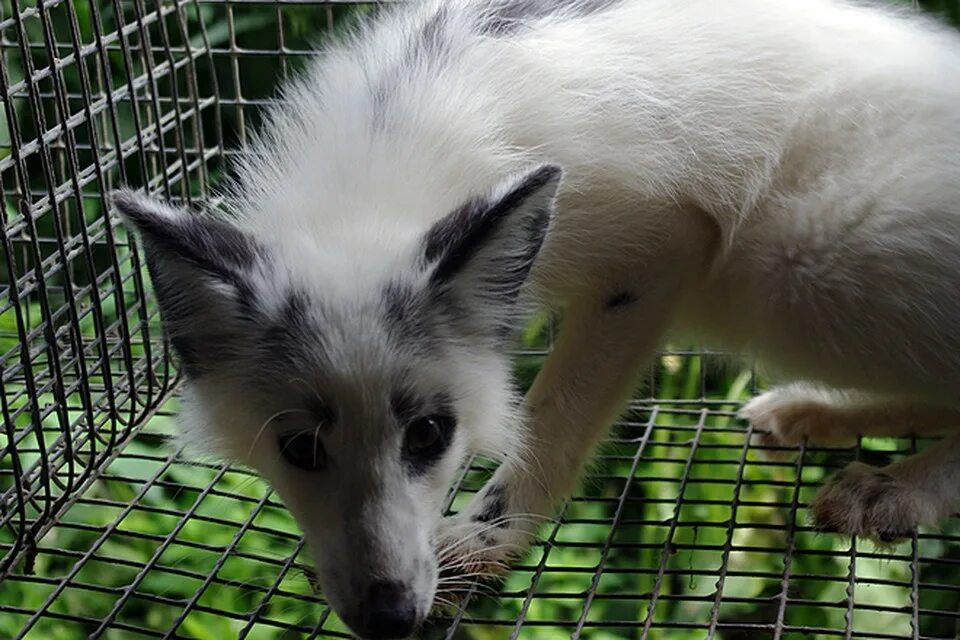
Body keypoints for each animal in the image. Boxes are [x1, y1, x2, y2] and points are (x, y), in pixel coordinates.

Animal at [114, 2, 960, 636]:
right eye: (298, 447)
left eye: (430, 435)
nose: (390, 618)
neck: (379, 179)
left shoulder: (657, 252)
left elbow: (554, 419)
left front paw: (483, 543)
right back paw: (815, 411)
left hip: (803, 263)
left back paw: (898, 489)